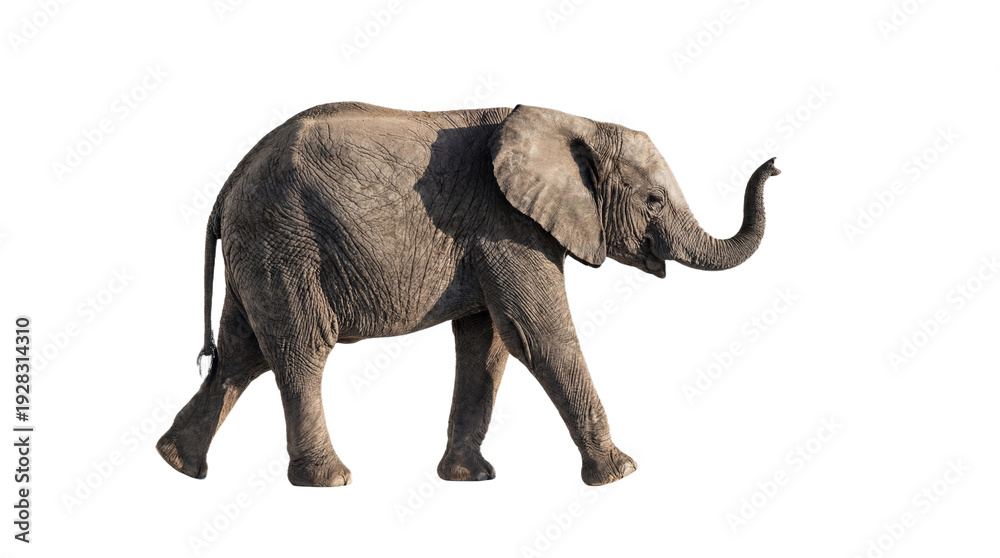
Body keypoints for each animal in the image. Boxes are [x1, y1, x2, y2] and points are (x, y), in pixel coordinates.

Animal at [156, 101, 781, 487]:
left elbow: (489, 343)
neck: (572, 119)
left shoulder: (492, 234)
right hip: (284, 243)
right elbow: (537, 336)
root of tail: (228, 185)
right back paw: (330, 480)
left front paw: (470, 479)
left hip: (259, 248)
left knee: (241, 355)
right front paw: (621, 473)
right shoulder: (506, 224)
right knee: (300, 351)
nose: (775, 165)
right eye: (653, 201)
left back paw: (178, 465)